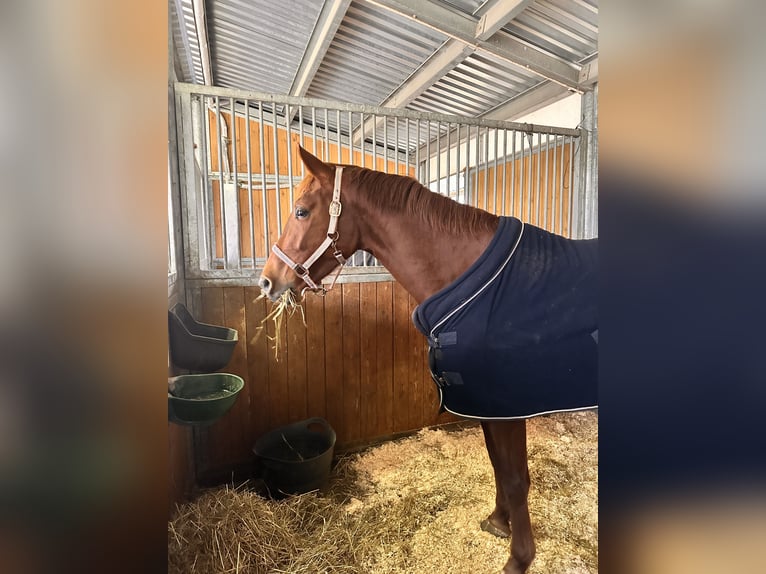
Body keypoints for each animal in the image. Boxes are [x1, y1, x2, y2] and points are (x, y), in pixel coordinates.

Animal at [258, 146, 598, 574]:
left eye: (301, 211)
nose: (267, 281)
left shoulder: (508, 409)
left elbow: (517, 477)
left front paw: (519, 559)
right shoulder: (485, 406)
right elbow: (498, 465)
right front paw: (498, 521)